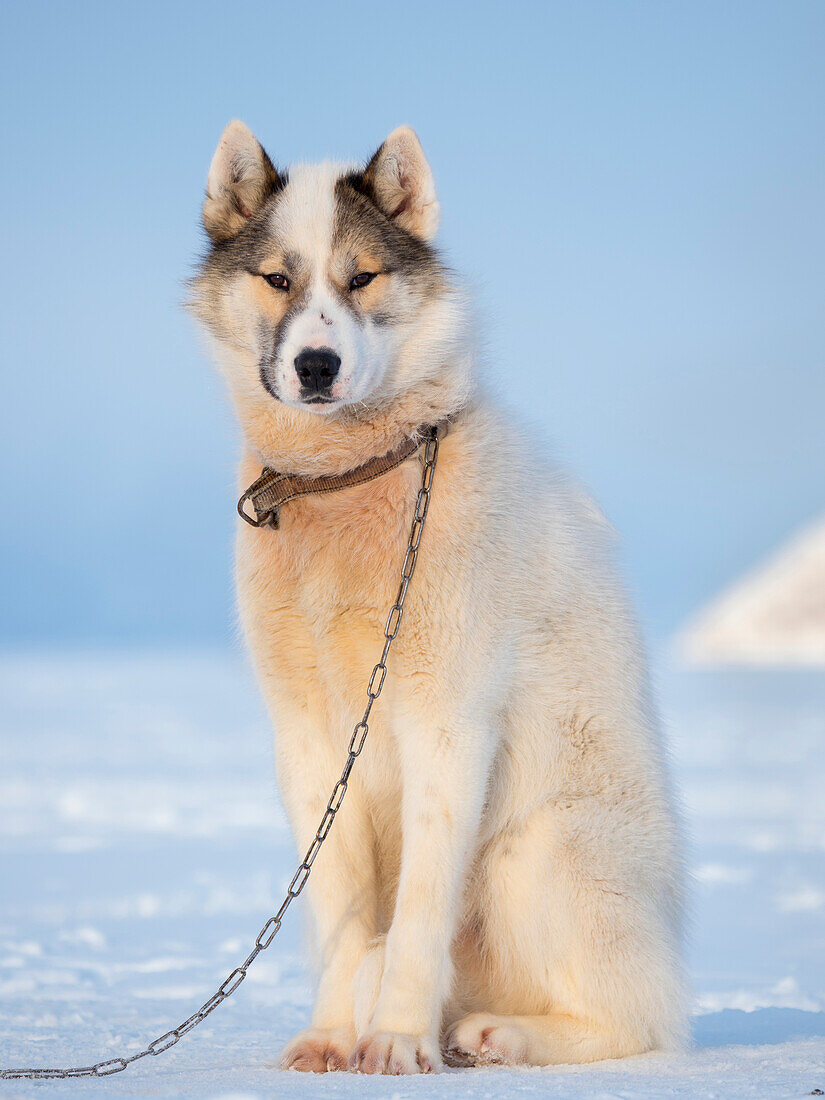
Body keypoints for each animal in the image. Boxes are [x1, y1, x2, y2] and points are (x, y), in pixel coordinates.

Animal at [190, 122, 686, 1073]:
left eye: (360, 278)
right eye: (278, 279)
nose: (316, 365)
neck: (347, 480)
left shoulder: (447, 722)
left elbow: (417, 914)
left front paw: (393, 1042)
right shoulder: (311, 744)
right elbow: (341, 919)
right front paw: (330, 1040)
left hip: (533, 852)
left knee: (640, 1021)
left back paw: (497, 1035)